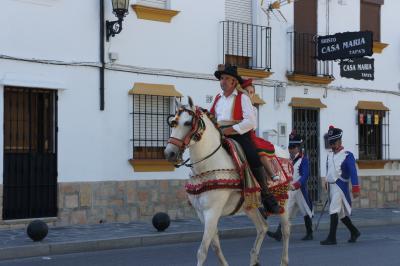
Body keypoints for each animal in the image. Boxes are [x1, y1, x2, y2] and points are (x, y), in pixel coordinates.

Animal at [163, 97, 290, 266]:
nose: (169, 153)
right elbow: (215, 246)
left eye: (188, 123)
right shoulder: (201, 213)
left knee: (285, 230)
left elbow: (202, 251)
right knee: (262, 227)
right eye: (173, 123)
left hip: (283, 199)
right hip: (249, 205)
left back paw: (283, 260)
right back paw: (254, 258)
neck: (209, 163)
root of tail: (282, 150)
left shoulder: (212, 211)